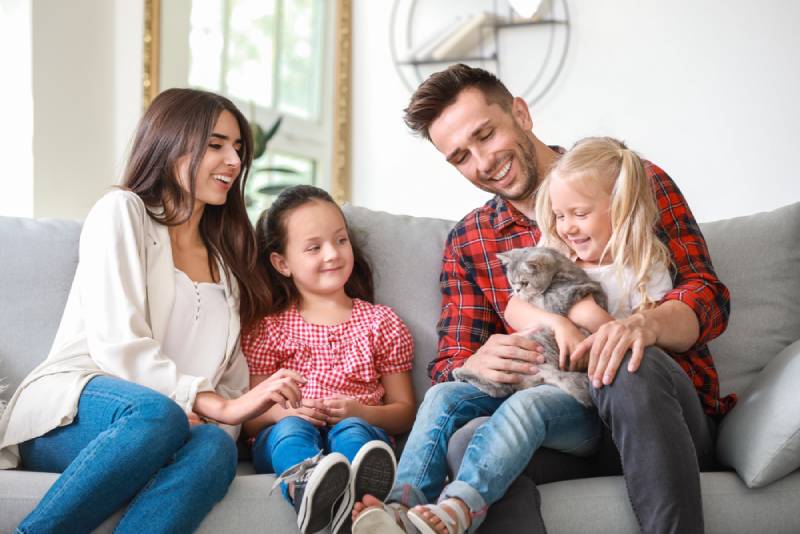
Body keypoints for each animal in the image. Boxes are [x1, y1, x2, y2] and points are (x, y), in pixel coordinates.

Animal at [456, 249, 608, 408]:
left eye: (525, 283)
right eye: (512, 281)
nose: (516, 290)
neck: (560, 271)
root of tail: (546, 372)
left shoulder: (555, 302)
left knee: (504, 389)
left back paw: (462, 373)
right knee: (503, 389)